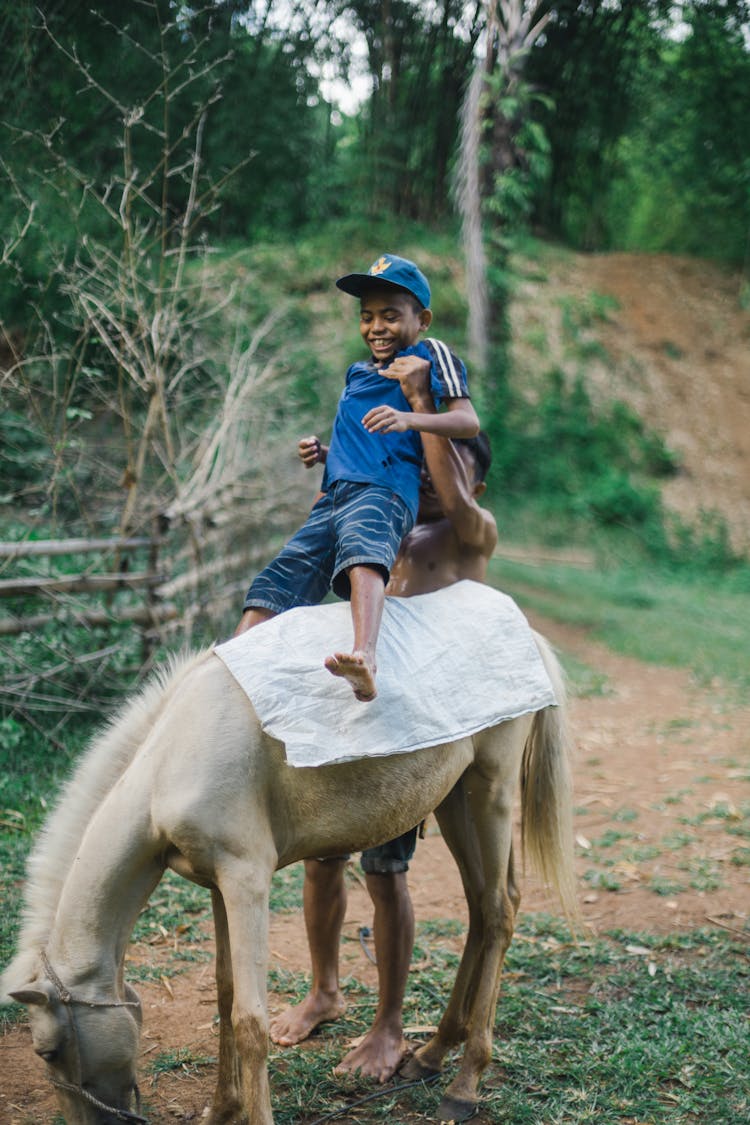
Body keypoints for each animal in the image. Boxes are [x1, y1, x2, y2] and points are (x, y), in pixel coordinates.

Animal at [2, 630, 580, 1120]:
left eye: (48, 1050)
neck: (172, 761)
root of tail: (529, 635)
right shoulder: (219, 883)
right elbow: (227, 994)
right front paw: (223, 1109)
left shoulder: (247, 881)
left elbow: (250, 1022)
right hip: (454, 798)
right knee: (484, 905)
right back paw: (432, 1053)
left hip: (491, 792)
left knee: (499, 914)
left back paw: (464, 1085)